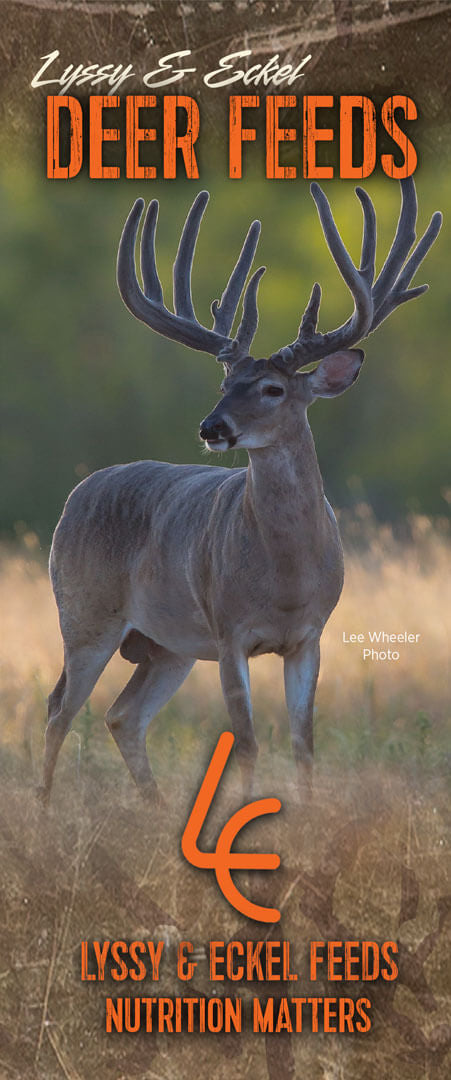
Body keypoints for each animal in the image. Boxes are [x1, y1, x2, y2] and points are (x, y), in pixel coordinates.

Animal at [39, 178, 442, 807]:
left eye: (273, 388)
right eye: (225, 382)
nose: (212, 427)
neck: (286, 579)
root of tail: (79, 492)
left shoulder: (310, 636)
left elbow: (303, 744)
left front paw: (306, 814)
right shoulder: (229, 630)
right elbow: (247, 740)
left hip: (167, 645)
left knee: (122, 714)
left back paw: (157, 809)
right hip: (85, 614)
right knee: (60, 708)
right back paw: (44, 806)